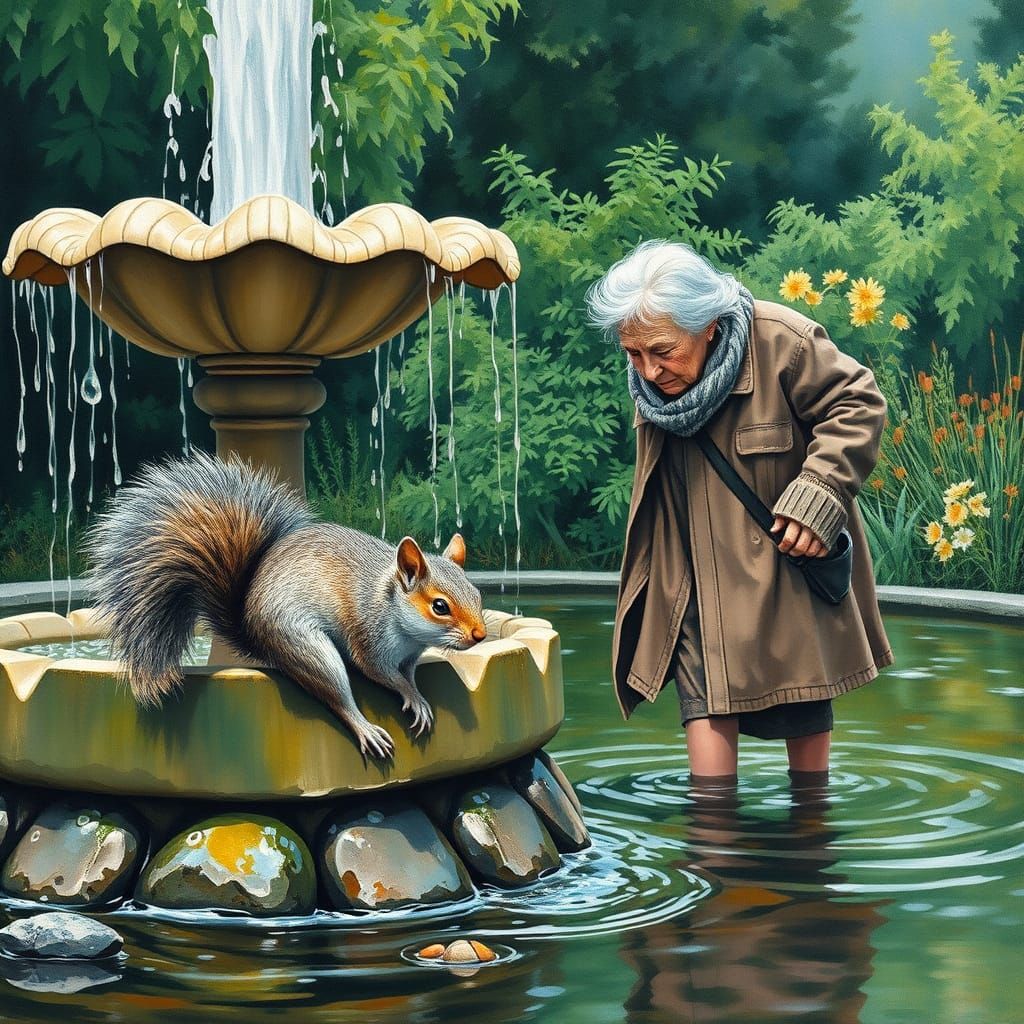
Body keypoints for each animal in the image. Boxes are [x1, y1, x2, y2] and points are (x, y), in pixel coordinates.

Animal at [84, 451, 488, 760]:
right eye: (439, 606)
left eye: (478, 595)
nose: (480, 635)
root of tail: (250, 626)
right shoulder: (369, 637)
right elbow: (380, 673)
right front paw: (410, 695)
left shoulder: (410, 655)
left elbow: (409, 673)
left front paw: (417, 692)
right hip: (303, 645)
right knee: (336, 695)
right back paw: (365, 728)